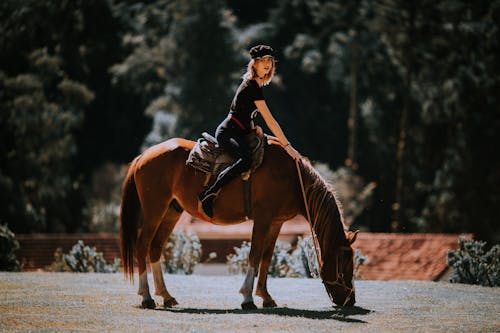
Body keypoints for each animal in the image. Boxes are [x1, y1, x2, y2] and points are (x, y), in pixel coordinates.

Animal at [119, 136, 358, 308]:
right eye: (345, 260)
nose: (350, 300)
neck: (291, 177)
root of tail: (143, 156)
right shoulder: (263, 219)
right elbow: (254, 255)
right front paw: (248, 298)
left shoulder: (276, 223)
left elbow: (266, 257)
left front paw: (265, 296)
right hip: (155, 211)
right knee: (142, 246)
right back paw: (147, 297)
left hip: (171, 212)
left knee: (155, 248)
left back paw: (166, 296)